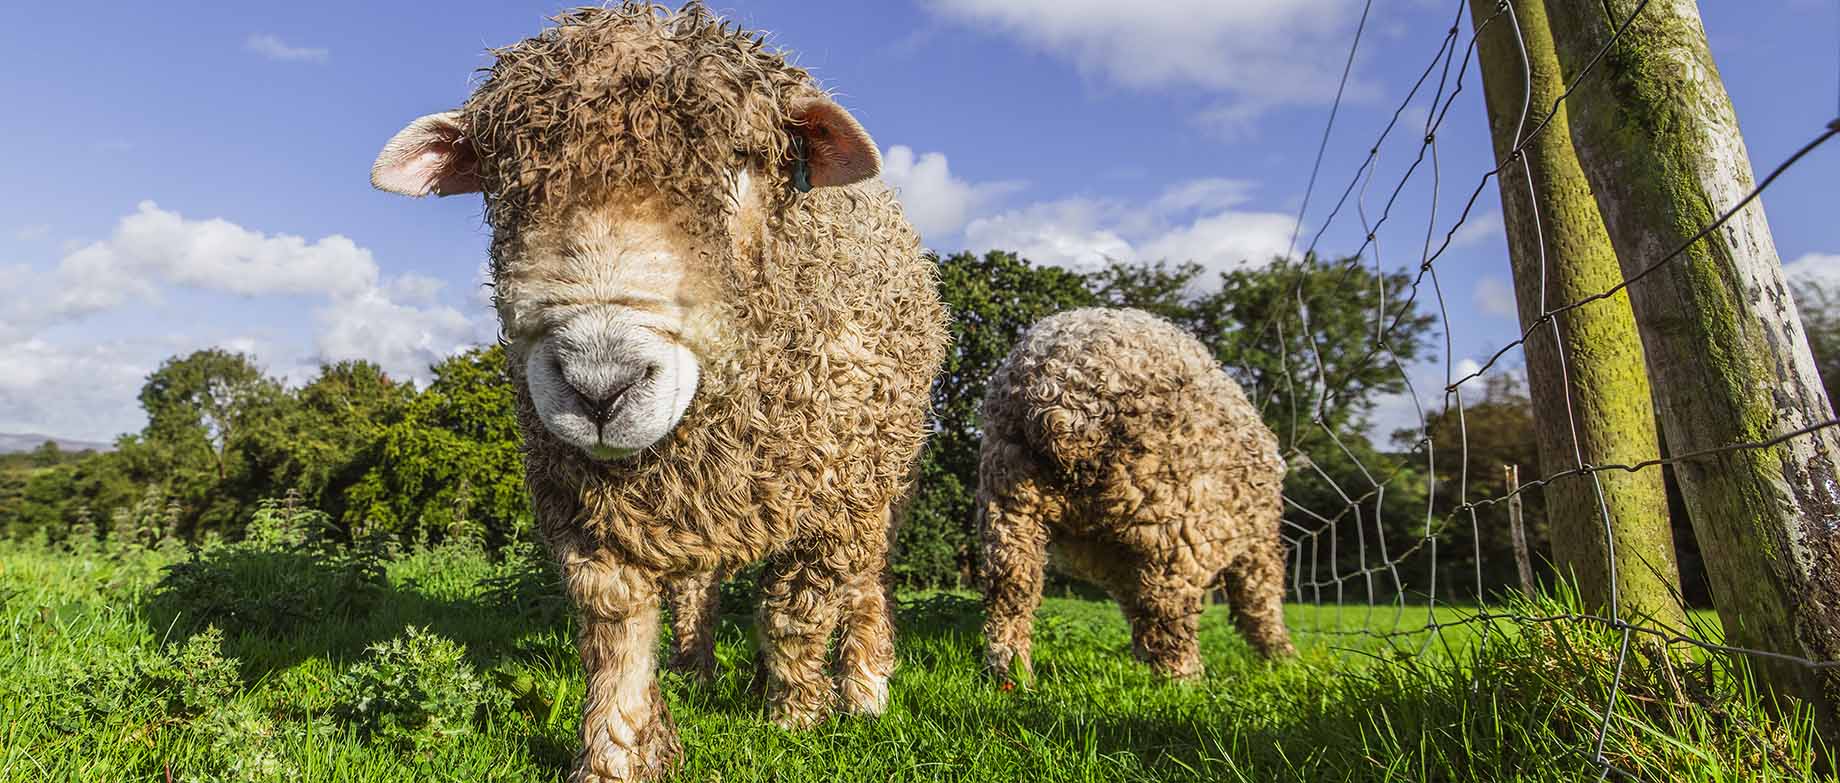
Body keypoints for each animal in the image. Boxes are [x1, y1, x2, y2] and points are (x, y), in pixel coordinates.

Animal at [368, 4, 948, 780]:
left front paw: (795, 722)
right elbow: (616, 624)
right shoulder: (581, 498)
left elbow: (796, 613)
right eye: (507, 184)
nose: (599, 385)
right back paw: (696, 669)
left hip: (882, 479)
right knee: (699, 586)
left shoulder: (832, 494)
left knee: (865, 580)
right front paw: (616, 752)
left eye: (741, 165)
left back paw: (861, 688)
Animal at [977, 307, 1294, 684]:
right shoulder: (1254, 542)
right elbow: (1260, 601)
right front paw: (1281, 657)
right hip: (1174, 518)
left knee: (1011, 587)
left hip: (1010, 494)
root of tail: (1062, 392)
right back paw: (1184, 680)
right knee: (1168, 606)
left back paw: (1010, 673)